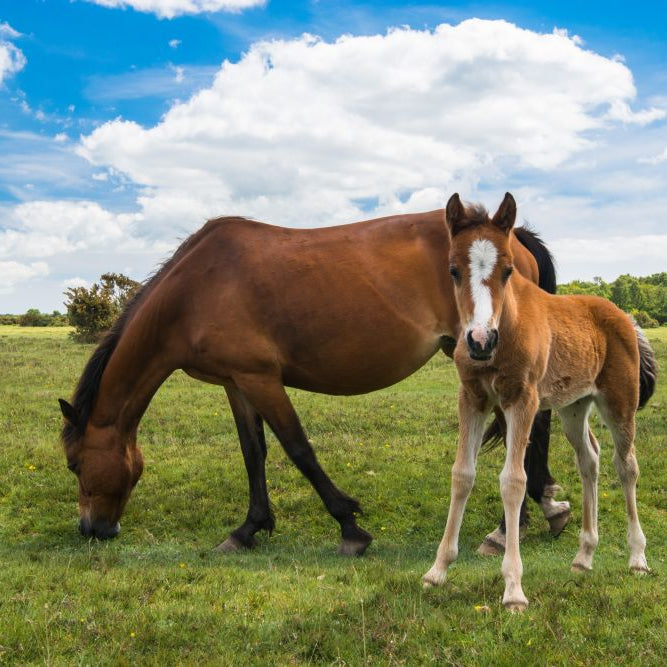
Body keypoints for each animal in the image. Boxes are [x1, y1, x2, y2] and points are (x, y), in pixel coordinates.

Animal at [58, 207, 566, 556]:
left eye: (75, 464)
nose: (92, 530)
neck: (195, 289)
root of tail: (513, 237)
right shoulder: (236, 382)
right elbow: (253, 453)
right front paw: (248, 530)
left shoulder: (261, 379)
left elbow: (298, 449)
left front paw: (350, 529)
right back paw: (538, 511)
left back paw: (509, 528)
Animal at [422, 193, 657, 611]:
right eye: (453, 270)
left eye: (508, 271)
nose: (480, 341)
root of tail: (626, 318)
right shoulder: (473, 398)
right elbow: (462, 474)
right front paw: (438, 570)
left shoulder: (523, 400)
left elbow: (514, 480)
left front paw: (514, 589)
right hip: (573, 406)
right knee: (589, 460)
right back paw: (583, 556)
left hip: (619, 400)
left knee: (626, 466)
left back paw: (637, 558)